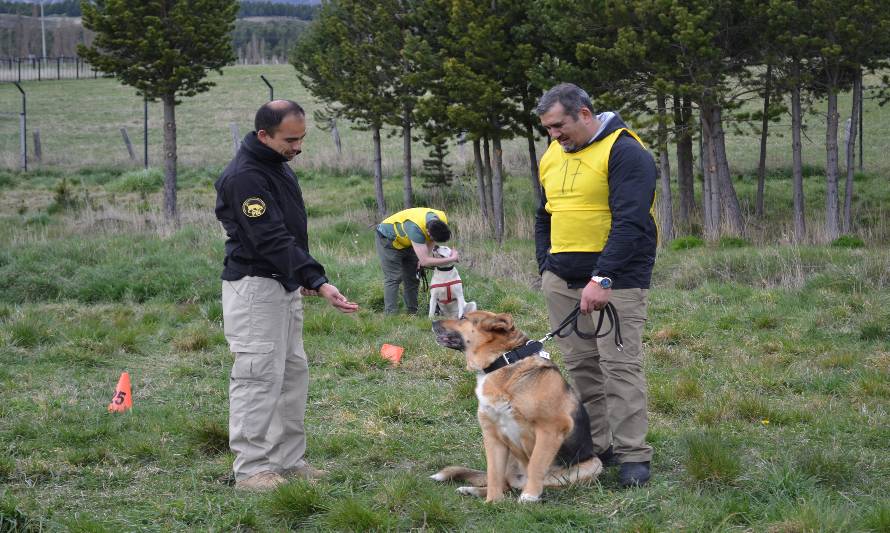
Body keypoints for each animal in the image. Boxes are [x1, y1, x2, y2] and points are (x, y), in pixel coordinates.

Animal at [428, 310, 600, 500]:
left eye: (463, 318)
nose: (433, 322)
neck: (504, 361)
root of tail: (519, 481)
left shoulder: (551, 428)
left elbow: (536, 464)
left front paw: (529, 497)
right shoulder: (492, 436)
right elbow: (493, 474)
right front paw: (492, 502)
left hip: (593, 466)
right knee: (505, 485)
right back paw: (472, 490)